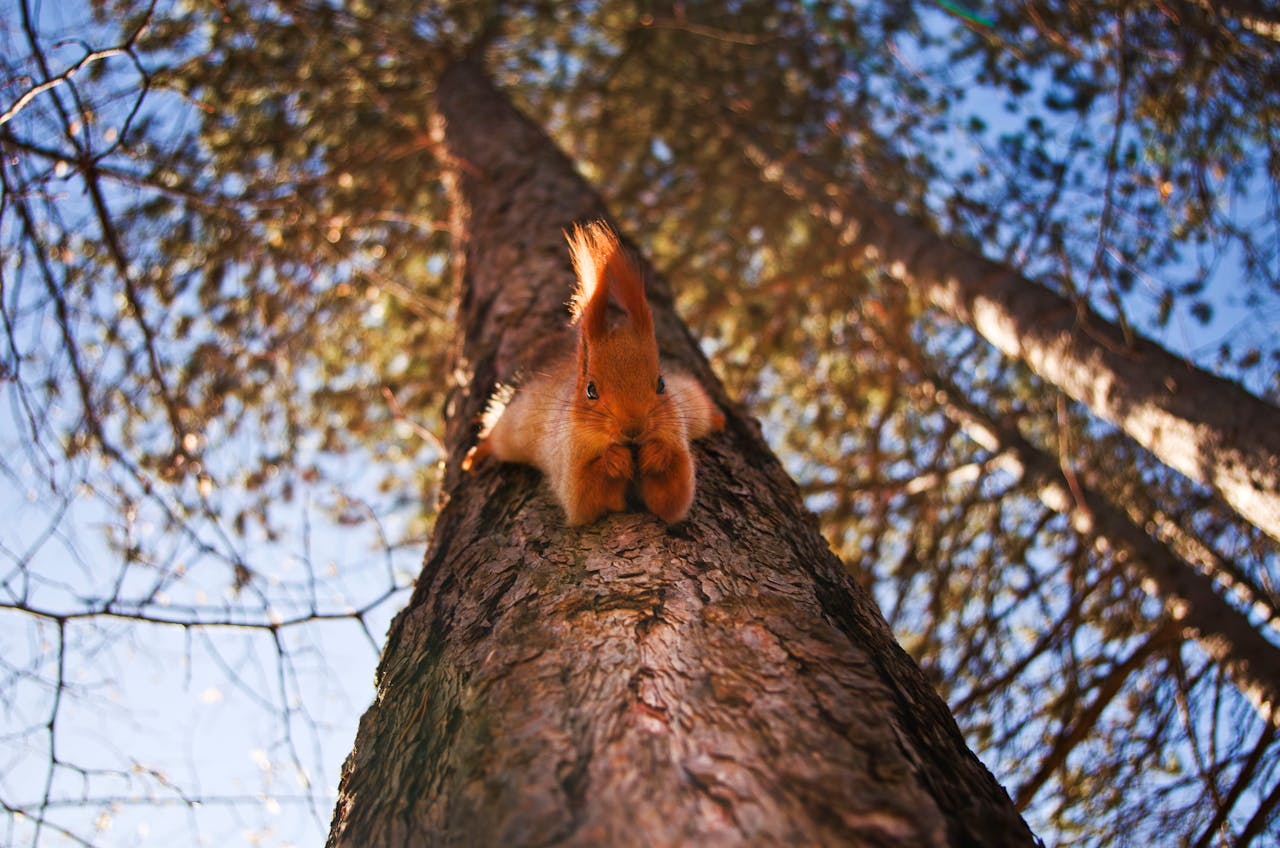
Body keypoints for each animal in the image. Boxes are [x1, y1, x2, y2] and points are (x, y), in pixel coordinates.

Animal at [462, 221, 724, 526]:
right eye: (590, 390)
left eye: (661, 383)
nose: (633, 430)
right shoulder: (568, 463)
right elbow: (586, 497)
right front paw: (614, 459)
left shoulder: (676, 435)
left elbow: (673, 498)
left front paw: (656, 453)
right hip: (514, 427)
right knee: (495, 435)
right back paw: (475, 456)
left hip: (691, 403)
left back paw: (718, 418)